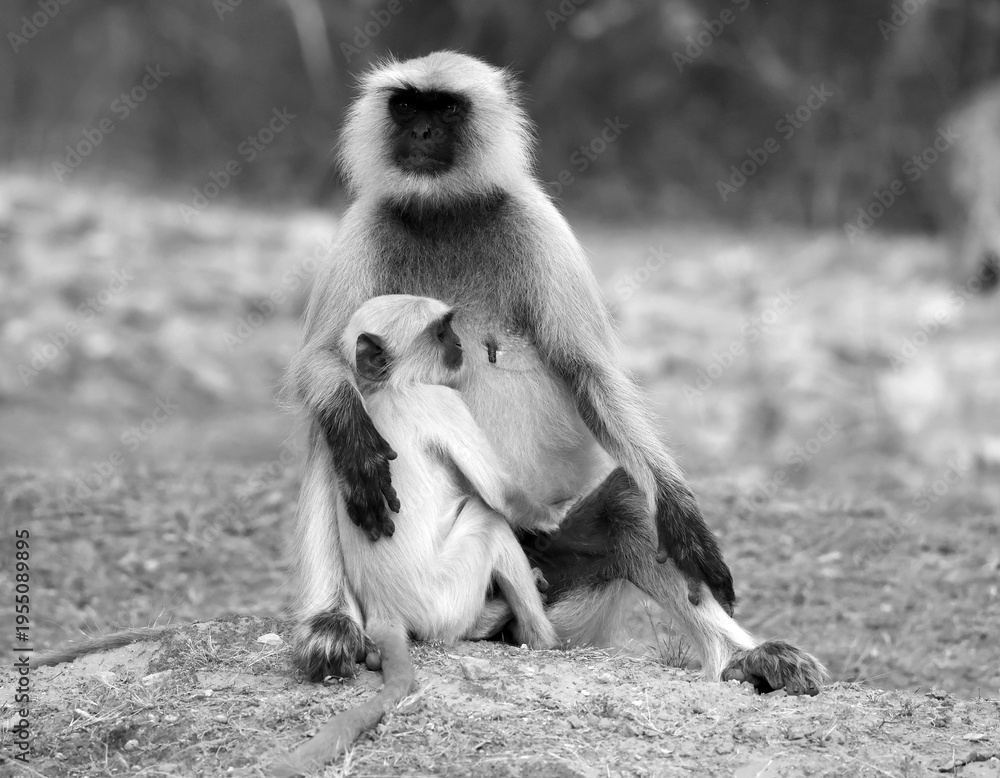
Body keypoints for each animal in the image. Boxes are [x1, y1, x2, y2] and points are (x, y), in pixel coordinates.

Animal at [284, 50, 826, 698]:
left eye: (447, 109)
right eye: (407, 105)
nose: (422, 133)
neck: (446, 210)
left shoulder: (538, 221)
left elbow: (590, 375)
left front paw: (684, 516)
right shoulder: (364, 225)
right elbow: (322, 364)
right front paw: (354, 436)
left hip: (558, 574)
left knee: (626, 505)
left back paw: (748, 656)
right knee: (339, 432)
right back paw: (332, 624)